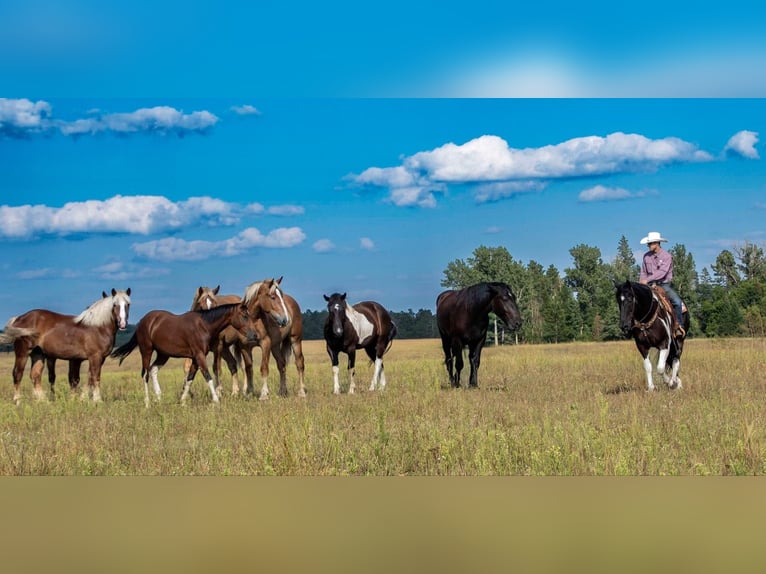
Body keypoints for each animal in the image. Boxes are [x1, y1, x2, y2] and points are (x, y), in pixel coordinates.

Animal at [0, 288, 132, 404]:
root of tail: (19, 318)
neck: (97, 327)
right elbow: (95, 377)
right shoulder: (95, 357)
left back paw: (44, 402)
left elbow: (86, 378)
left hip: (38, 354)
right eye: (115, 305)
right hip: (22, 353)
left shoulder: (94, 359)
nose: (123, 324)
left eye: (128, 304)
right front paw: (97, 400)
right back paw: (18, 402)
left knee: (35, 376)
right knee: (17, 374)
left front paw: (81, 399)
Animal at [109, 302, 258, 410]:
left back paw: (159, 397)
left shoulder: (196, 358)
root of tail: (143, 322)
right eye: (245, 316)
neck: (203, 326)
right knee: (145, 374)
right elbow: (207, 376)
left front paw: (182, 401)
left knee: (153, 369)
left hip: (163, 354)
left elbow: (190, 378)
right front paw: (216, 400)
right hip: (147, 351)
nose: (254, 335)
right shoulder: (199, 356)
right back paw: (148, 403)